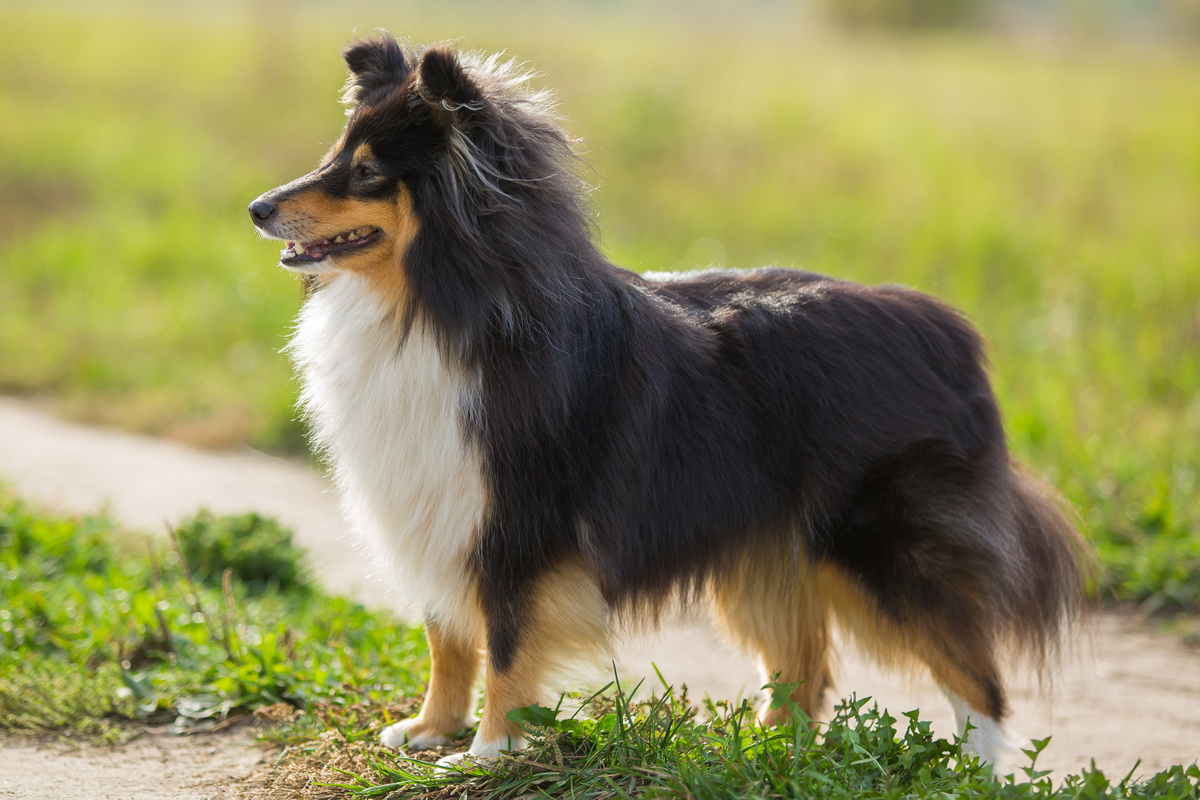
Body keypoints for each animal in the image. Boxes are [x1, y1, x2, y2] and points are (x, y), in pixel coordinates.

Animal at [248, 32, 1084, 767]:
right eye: (333, 156)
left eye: (365, 172)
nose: (256, 208)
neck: (432, 304)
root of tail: (952, 334)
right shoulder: (435, 503)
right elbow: (445, 637)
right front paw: (427, 731)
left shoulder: (520, 520)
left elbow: (508, 642)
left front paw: (484, 754)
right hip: (770, 554)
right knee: (804, 671)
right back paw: (763, 757)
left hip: (884, 547)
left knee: (976, 678)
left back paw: (968, 773)